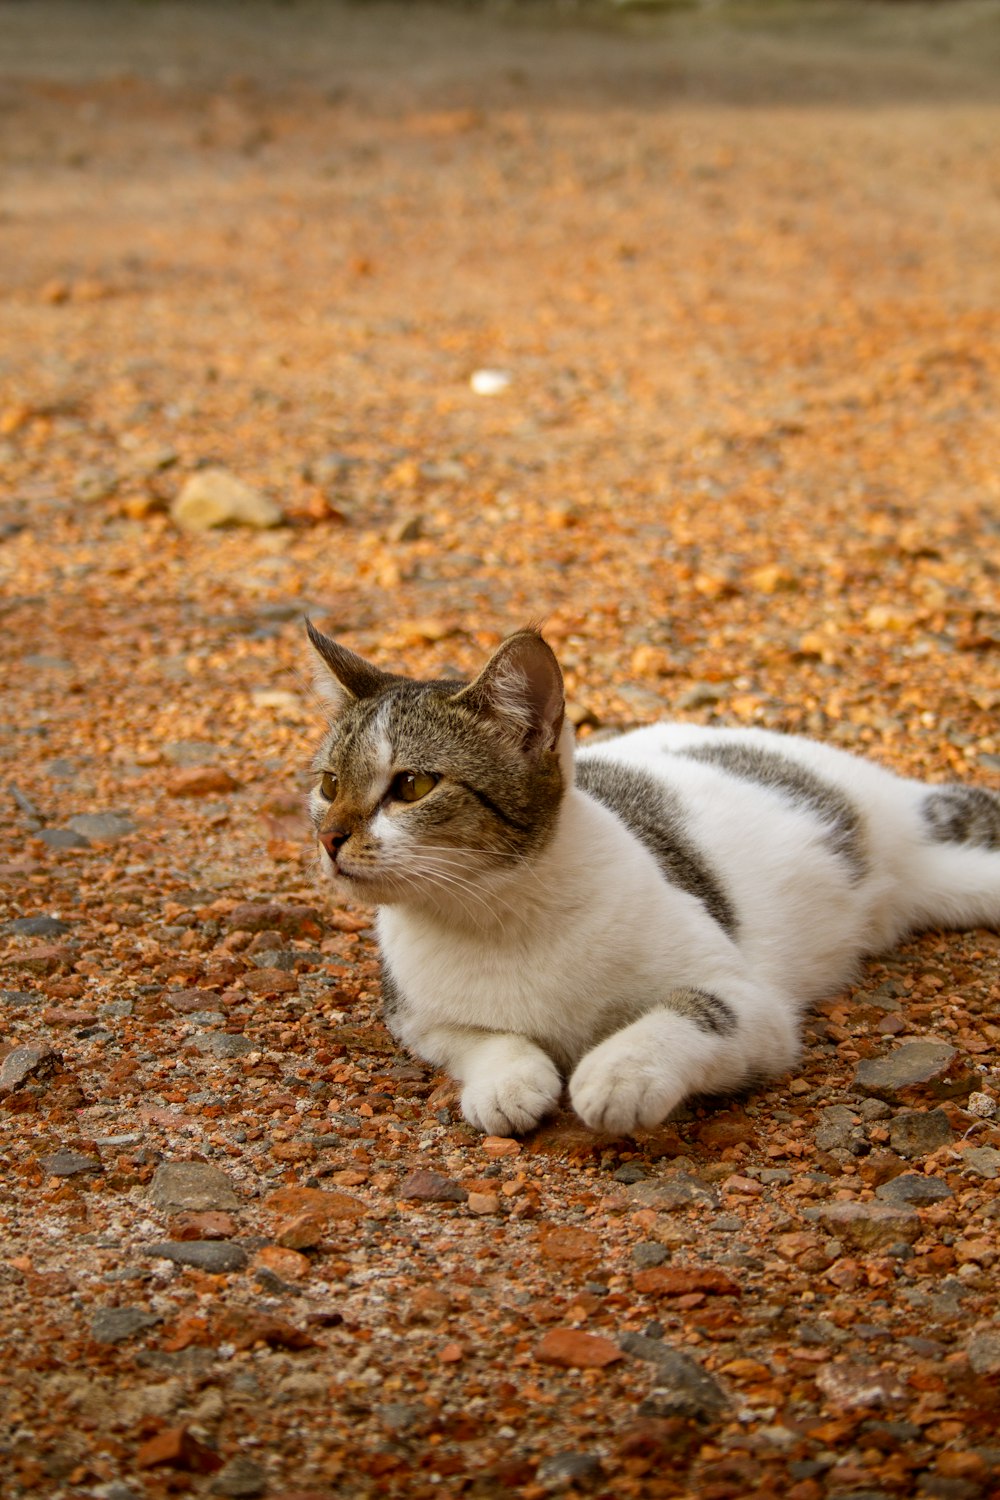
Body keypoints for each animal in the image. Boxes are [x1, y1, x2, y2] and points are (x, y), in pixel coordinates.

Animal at [305, 621, 1000, 1134]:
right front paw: (507, 1082)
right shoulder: (414, 1018)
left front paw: (620, 1072)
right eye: (328, 785)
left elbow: (691, 1010)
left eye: (412, 786)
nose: (329, 837)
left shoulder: (757, 1007)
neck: (493, 916)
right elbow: (479, 1039)